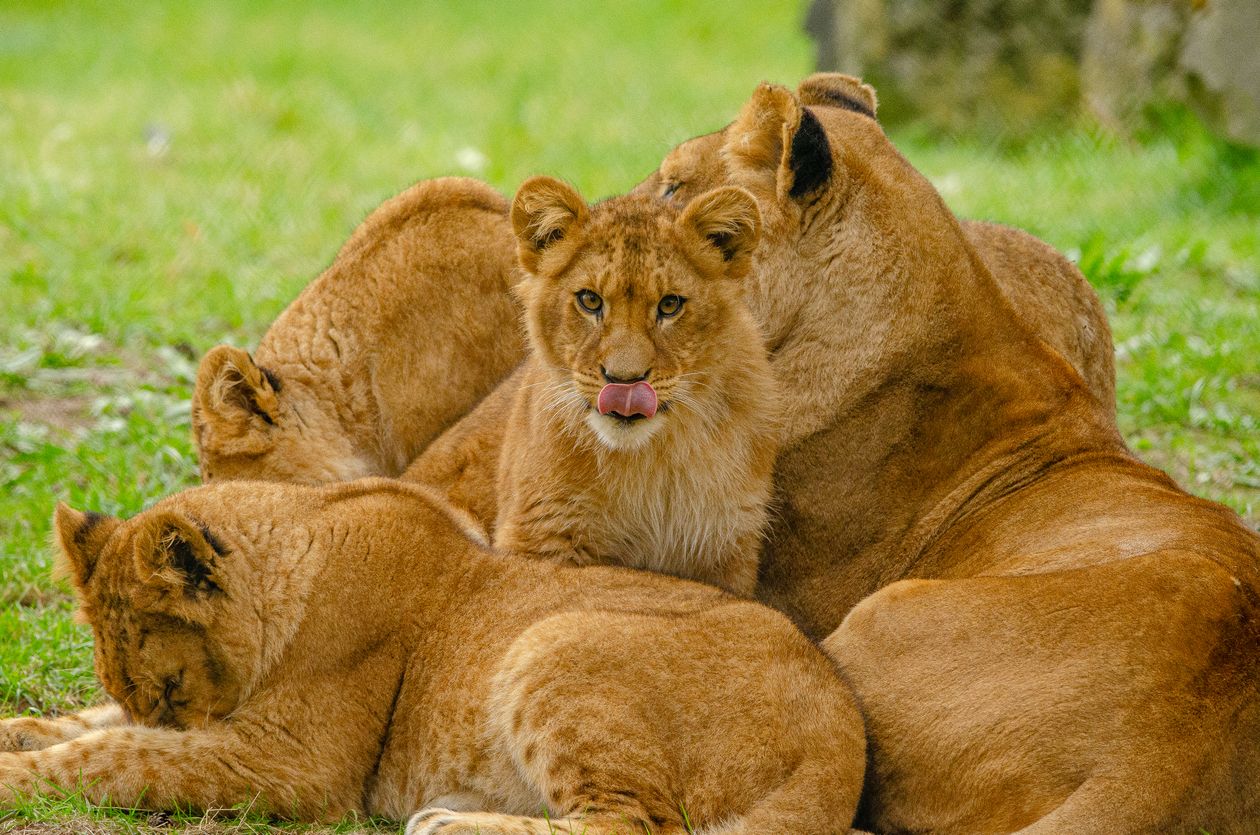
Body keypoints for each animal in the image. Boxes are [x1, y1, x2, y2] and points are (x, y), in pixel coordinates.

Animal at [0, 480, 866, 834]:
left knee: (640, 823)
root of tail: (844, 732)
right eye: (149, 692)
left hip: (549, 641)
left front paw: (12, 774)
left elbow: (117, 753)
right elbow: (91, 724)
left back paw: (449, 821)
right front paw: (18, 728)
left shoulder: (292, 765)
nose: (169, 713)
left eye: (174, 690)